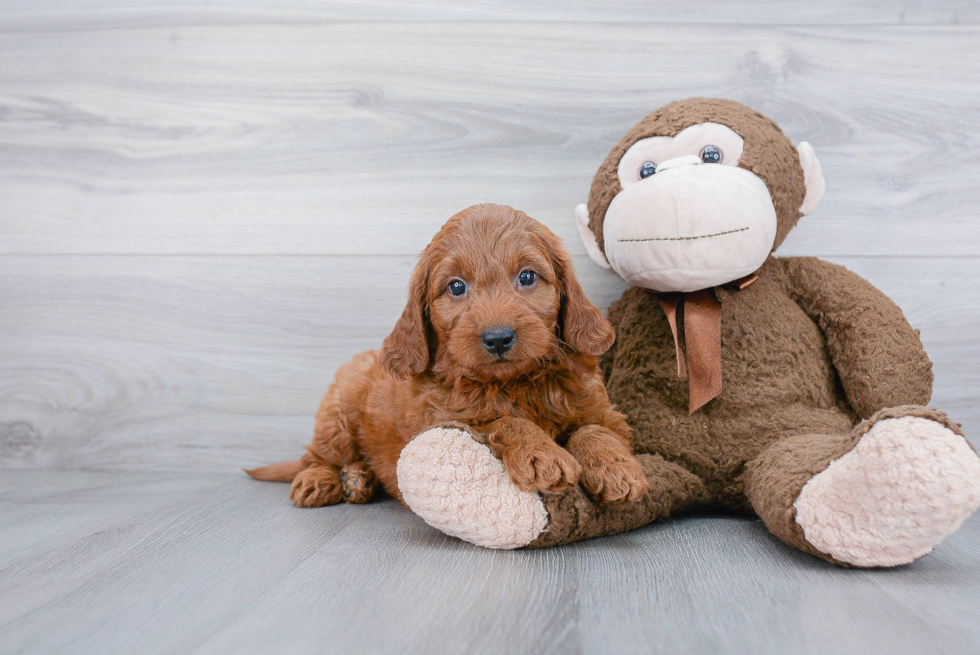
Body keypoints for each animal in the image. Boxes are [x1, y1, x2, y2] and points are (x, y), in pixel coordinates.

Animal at [245, 204, 648, 508]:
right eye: (456, 287)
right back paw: (322, 480)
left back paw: (358, 479)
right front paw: (542, 454)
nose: (498, 338)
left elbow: (595, 429)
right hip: (338, 409)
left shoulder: (606, 413)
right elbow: (502, 421)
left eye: (527, 277)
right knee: (317, 455)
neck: (515, 383)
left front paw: (617, 469)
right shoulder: (441, 422)